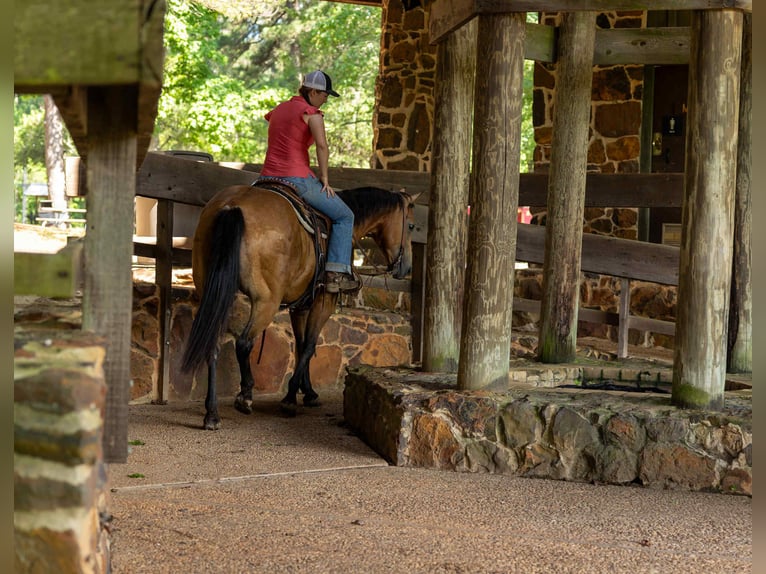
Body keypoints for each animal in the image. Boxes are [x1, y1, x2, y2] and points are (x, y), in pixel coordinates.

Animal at [180, 182, 420, 430]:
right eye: (411, 225)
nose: (407, 268)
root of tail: (233, 206)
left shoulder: (300, 306)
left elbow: (301, 344)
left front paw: (308, 392)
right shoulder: (324, 301)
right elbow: (309, 345)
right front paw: (290, 398)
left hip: (214, 292)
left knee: (213, 343)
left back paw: (212, 414)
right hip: (266, 301)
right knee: (244, 343)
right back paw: (245, 396)